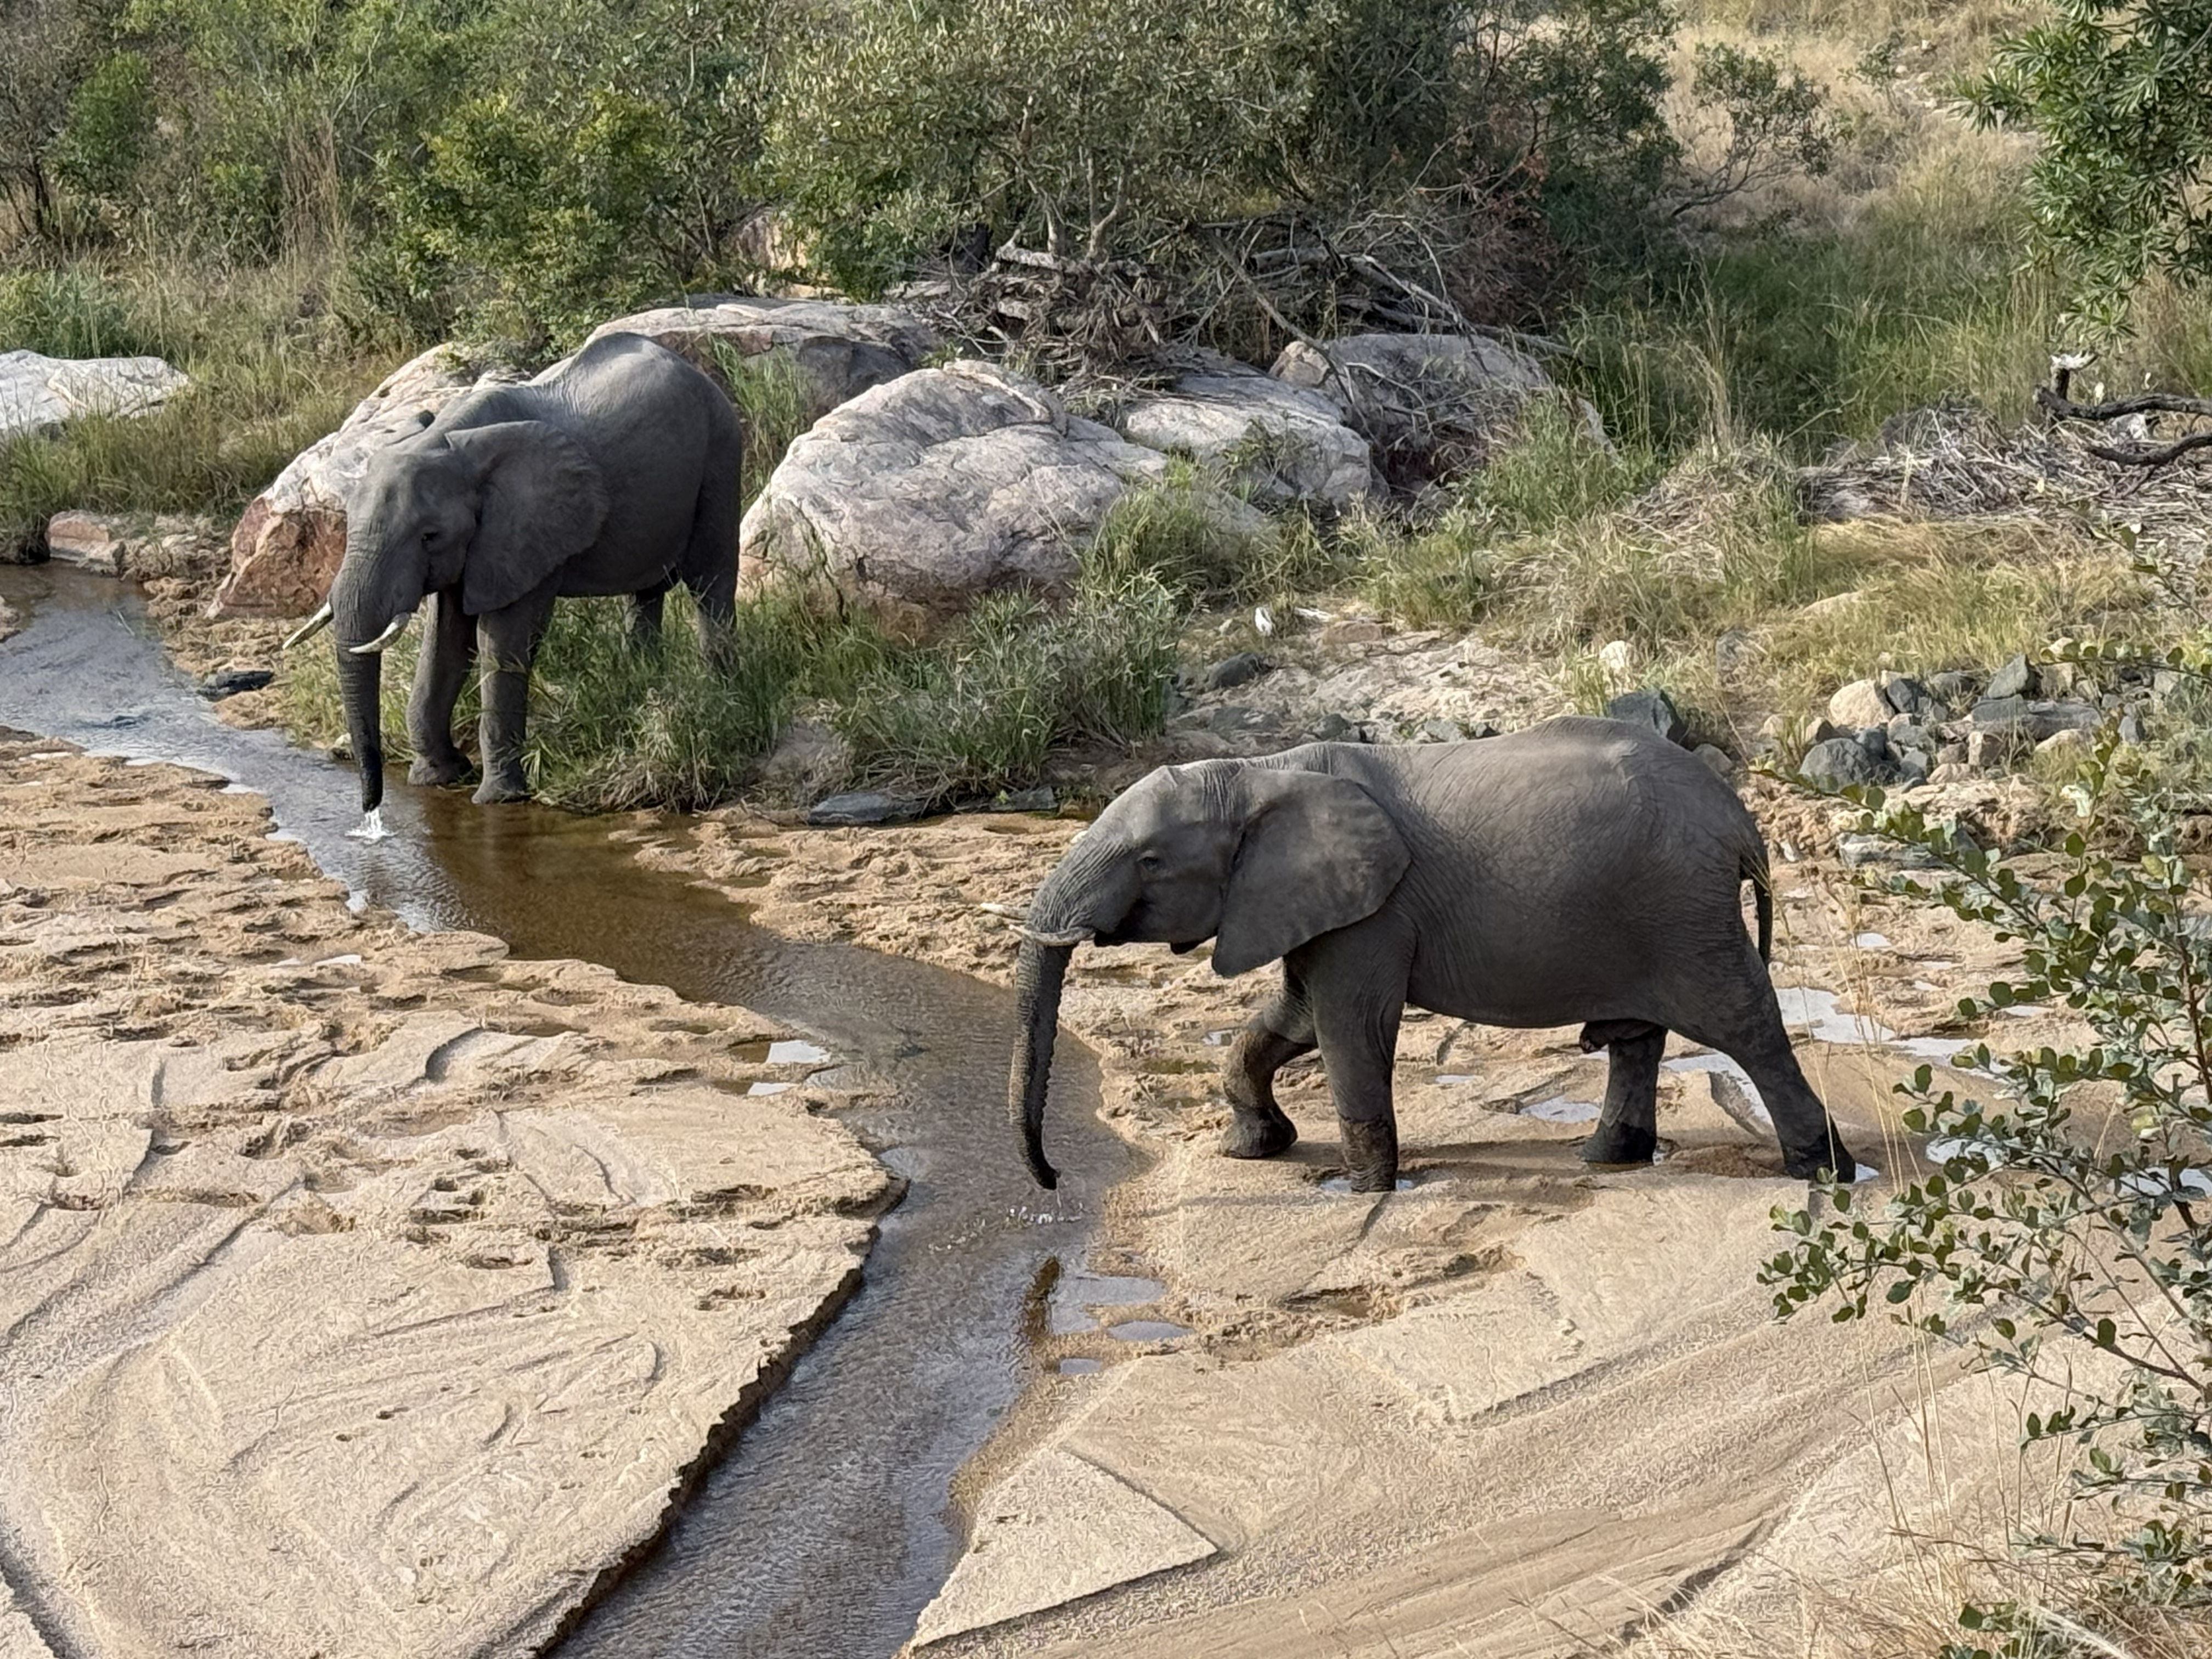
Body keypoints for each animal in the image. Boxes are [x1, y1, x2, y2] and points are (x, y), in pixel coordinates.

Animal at [294, 332, 741, 810]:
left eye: (430, 536)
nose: (370, 808)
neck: (445, 440)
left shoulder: (524, 530)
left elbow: (500, 638)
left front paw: (497, 799)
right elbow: (446, 640)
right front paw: (439, 776)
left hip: (720, 451)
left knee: (710, 580)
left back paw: (723, 696)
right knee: (646, 594)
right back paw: (645, 689)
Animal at [1007, 717, 1857, 1193]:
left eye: (1149, 862)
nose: (1053, 1182)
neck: (1258, 772)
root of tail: (1742, 820)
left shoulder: (1374, 912)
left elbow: (1349, 1029)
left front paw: (1365, 1193)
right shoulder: (1319, 906)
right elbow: (1292, 1019)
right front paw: (1255, 1149)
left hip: (1683, 910)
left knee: (1743, 1025)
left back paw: (1824, 1172)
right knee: (1639, 1038)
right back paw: (1607, 1158)